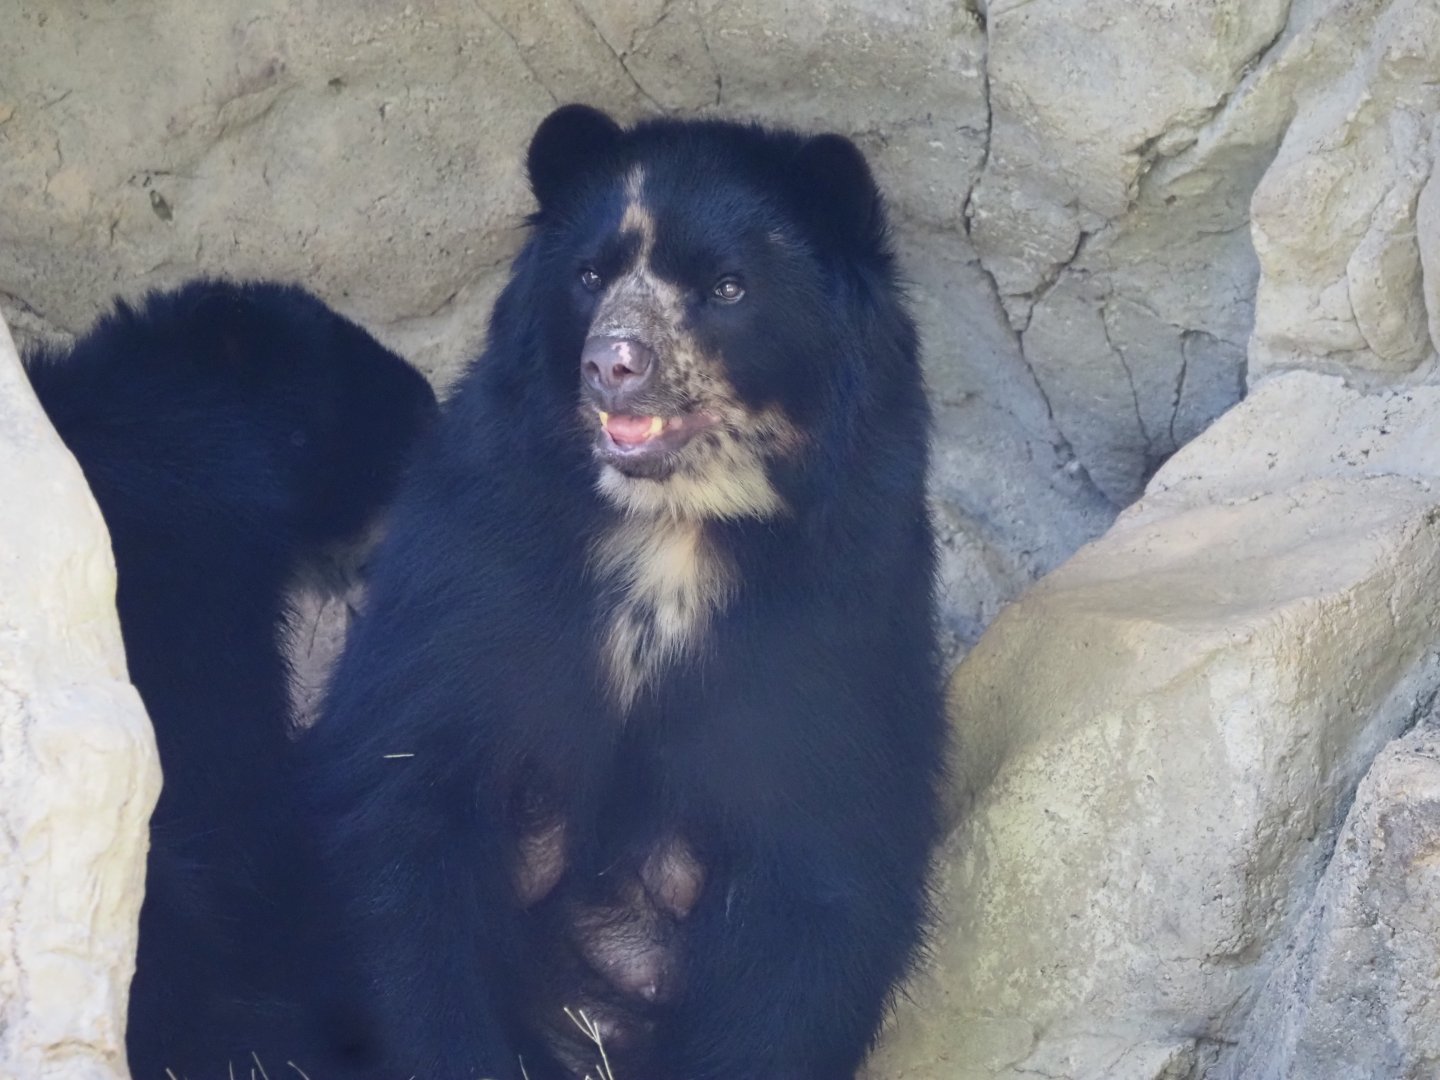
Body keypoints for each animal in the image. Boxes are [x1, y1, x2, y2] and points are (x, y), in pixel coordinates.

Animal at [301, 104, 948, 1080]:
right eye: (590, 275)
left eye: (727, 287)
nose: (614, 363)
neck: (672, 521)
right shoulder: (477, 556)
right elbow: (407, 800)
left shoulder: (840, 613)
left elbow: (816, 869)